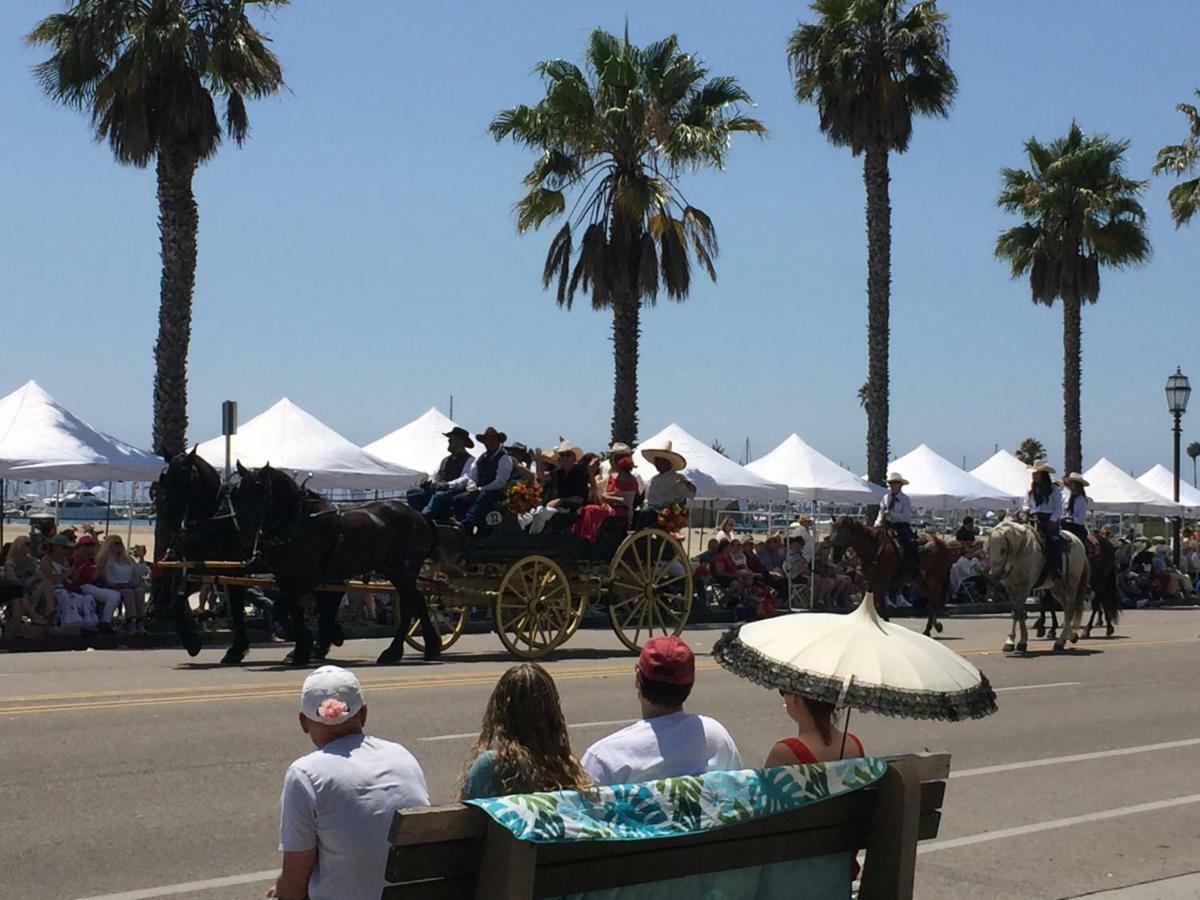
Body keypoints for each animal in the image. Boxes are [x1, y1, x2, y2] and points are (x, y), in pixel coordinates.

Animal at [231, 465, 444, 672]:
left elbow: (281, 608)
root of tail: (419, 516)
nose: (245, 535)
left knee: (411, 603)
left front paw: (309, 643)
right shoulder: (288, 579)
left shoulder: (307, 579)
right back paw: (420, 648)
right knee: (416, 600)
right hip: (395, 572)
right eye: (238, 493)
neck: (299, 524)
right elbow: (293, 610)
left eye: (262, 492)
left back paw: (401, 650)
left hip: (403, 571)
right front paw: (304, 647)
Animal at [984, 520, 1089, 657]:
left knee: (1070, 610)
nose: (993, 576)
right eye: (989, 549)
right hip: (1056, 588)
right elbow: (1018, 612)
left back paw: (1060, 642)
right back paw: (1070, 636)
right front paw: (1015, 642)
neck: (1022, 552)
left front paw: (1016, 642)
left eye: (1002, 550)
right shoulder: (1011, 588)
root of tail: (1079, 542)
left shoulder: (1025, 587)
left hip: (1072, 584)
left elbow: (1017, 612)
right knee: (1066, 608)